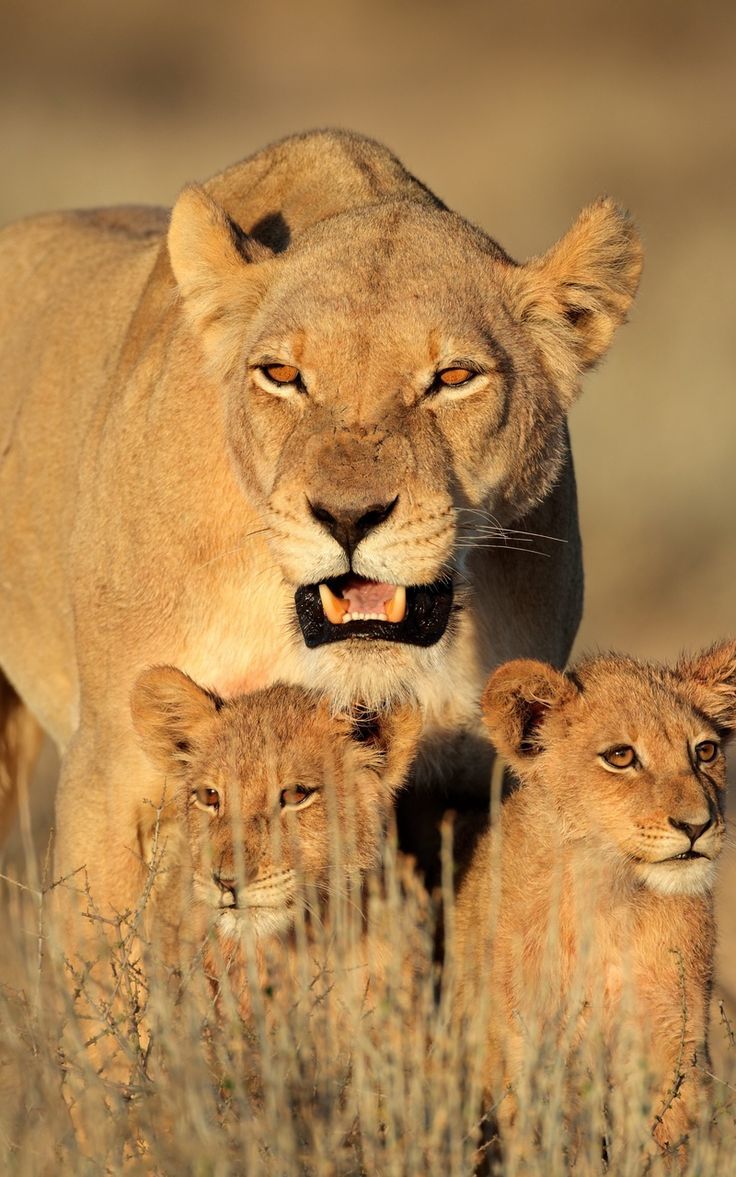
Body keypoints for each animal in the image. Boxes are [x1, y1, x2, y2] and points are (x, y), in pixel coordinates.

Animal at [452, 640, 735, 1156]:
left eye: (705, 752)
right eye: (621, 757)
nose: (697, 825)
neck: (610, 897)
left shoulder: (673, 1046)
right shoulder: (531, 1050)